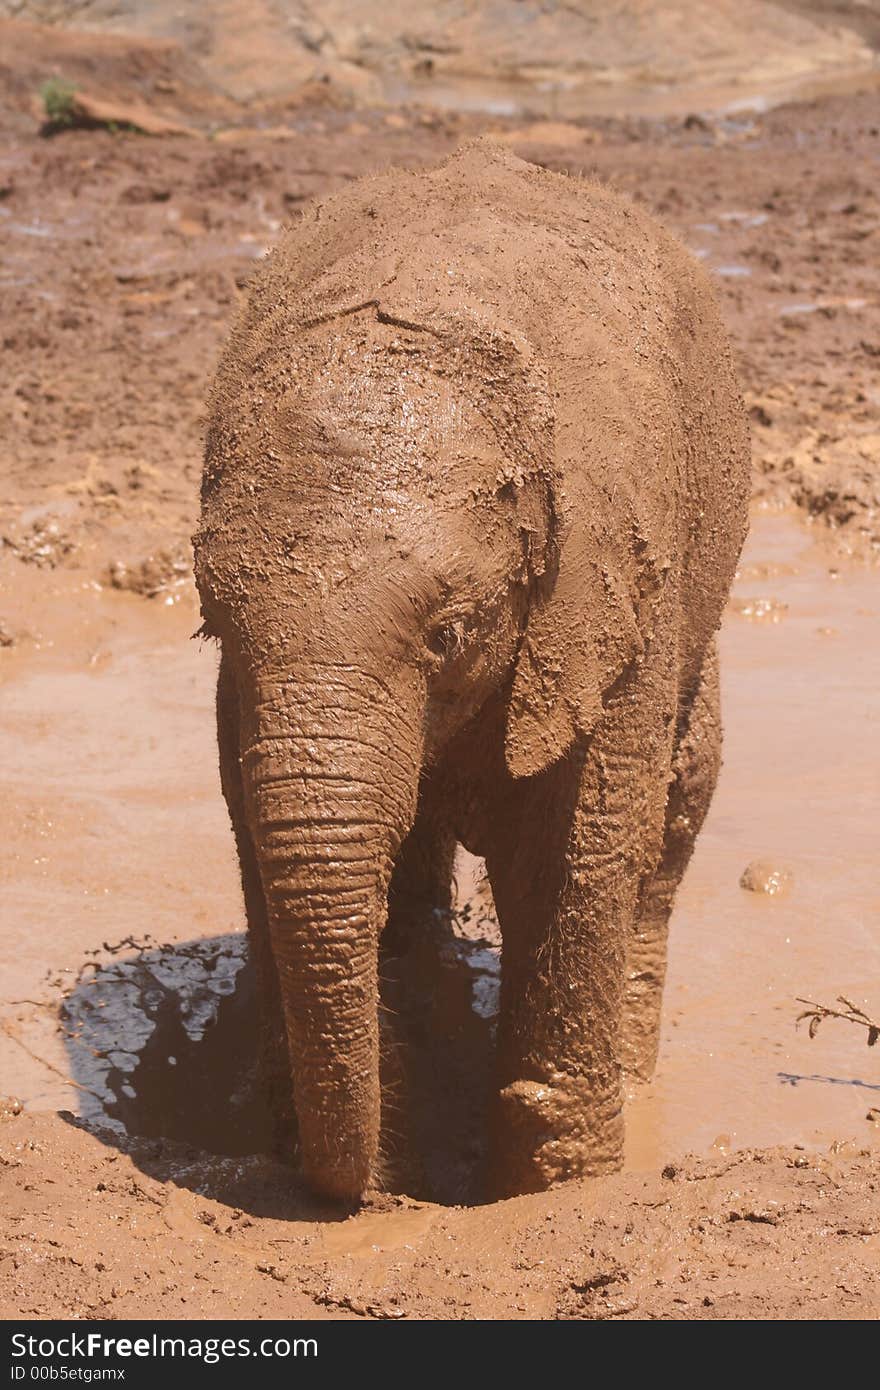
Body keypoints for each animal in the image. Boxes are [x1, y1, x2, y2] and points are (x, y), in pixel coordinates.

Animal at [193, 143, 750, 1206]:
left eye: (451, 635)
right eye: (214, 620)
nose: (369, 1194)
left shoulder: (613, 594)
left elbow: (571, 849)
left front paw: (556, 1180)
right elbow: (250, 825)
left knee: (677, 806)